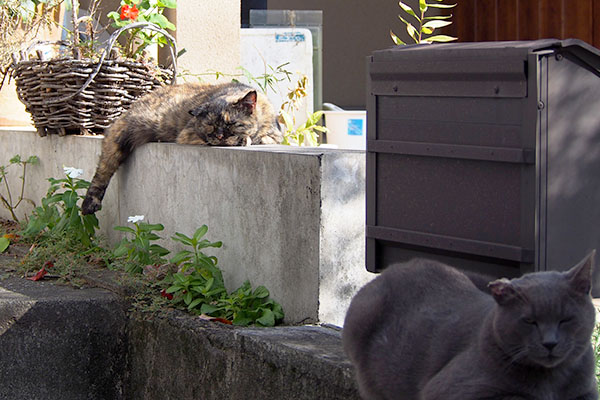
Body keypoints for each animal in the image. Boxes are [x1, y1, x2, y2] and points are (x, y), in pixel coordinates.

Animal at [80, 81, 284, 216]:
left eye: (231, 123)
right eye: (210, 125)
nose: (219, 135)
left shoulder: (276, 135)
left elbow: (264, 137)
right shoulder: (188, 134)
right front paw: (243, 139)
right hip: (125, 132)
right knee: (104, 167)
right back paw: (89, 205)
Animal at [344, 253, 596, 400]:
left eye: (566, 319)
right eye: (529, 321)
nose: (550, 342)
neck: (552, 381)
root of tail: (393, 268)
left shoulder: (586, 391)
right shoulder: (448, 390)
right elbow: (514, 397)